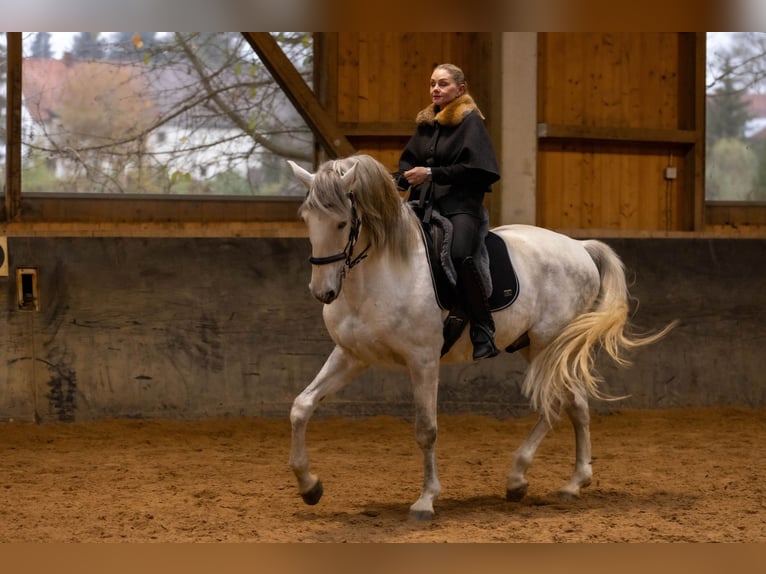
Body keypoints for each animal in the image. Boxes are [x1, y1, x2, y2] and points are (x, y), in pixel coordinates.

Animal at [286, 153, 672, 520]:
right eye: (306, 218)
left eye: (342, 222)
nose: (323, 292)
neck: (381, 272)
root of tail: (580, 248)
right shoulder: (351, 356)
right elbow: (301, 406)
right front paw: (309, 486)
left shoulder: (423, 360)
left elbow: (426, 429)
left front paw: (426, 500)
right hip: (538, 347)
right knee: (574, 402)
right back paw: (572, 483)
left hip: (549, 344)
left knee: (555, 402)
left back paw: (519, 478)